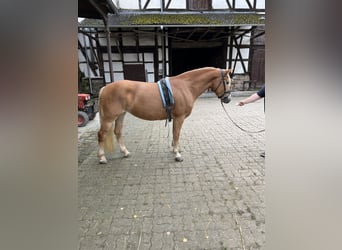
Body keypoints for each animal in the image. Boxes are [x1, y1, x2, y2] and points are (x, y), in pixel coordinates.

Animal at [97, 67, 234, 164]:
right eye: (227, 82)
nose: (228, 99)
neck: (186, 86)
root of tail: (105, 88)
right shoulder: (179, 117)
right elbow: (176, 134)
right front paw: (177, 155)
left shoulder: (176, 118)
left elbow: (174, 134)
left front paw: (175, 149)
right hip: (109, 118)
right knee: (101, 135)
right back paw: (102, 158)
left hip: (121, 115)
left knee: (117, 132)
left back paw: (125, 152)